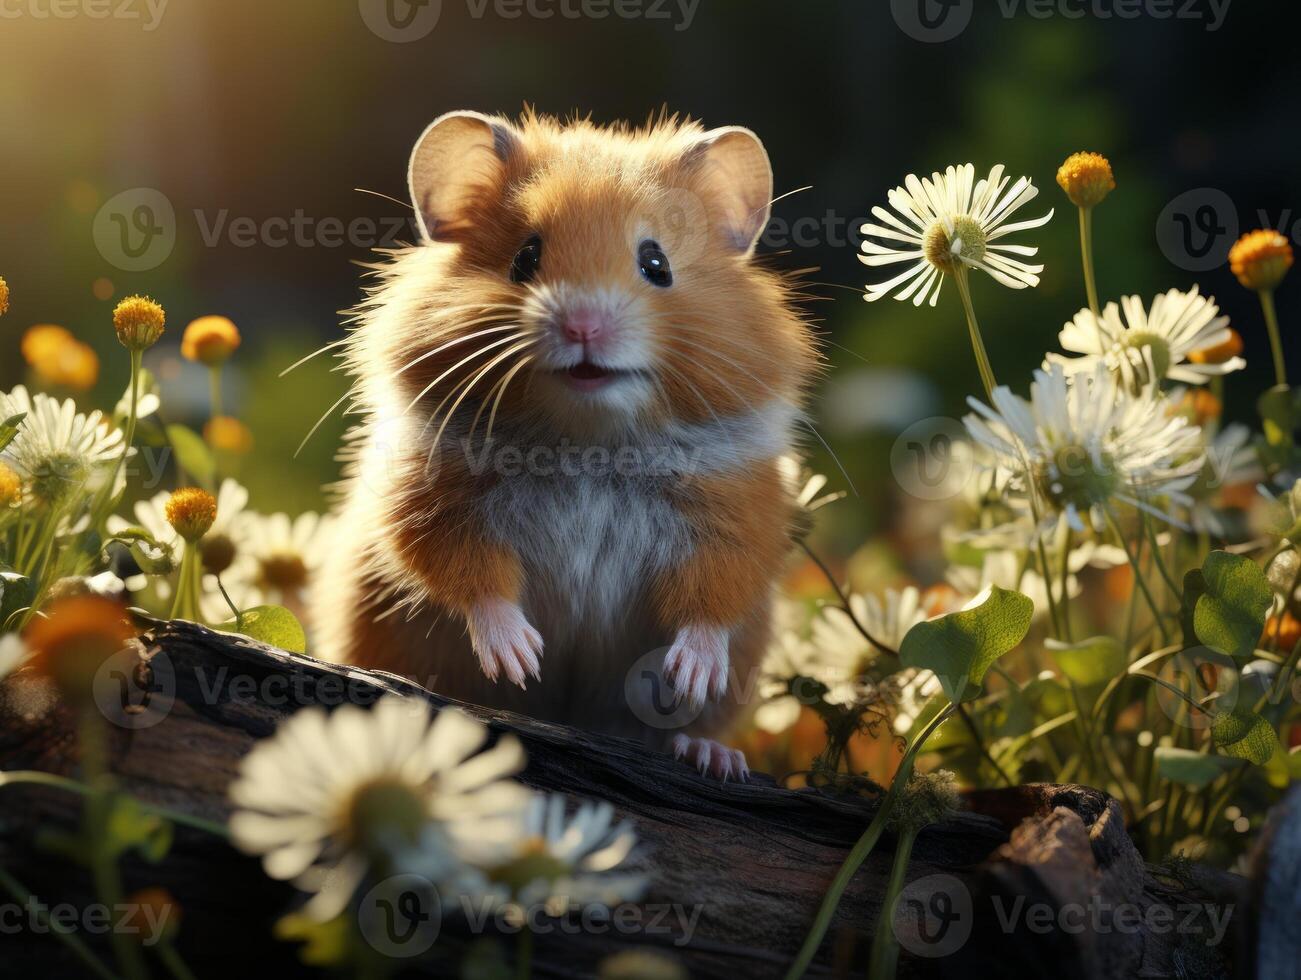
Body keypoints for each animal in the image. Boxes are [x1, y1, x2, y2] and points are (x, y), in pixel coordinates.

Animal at [312, 108, 811, 780]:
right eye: (525, 258)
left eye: (657, 264)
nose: (583, 327)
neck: (586, 442)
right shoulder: (428, 500)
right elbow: (471, 576)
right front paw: (522, 660)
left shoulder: (738, 514)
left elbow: (713, 596)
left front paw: (690, 673)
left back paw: (710, 755)